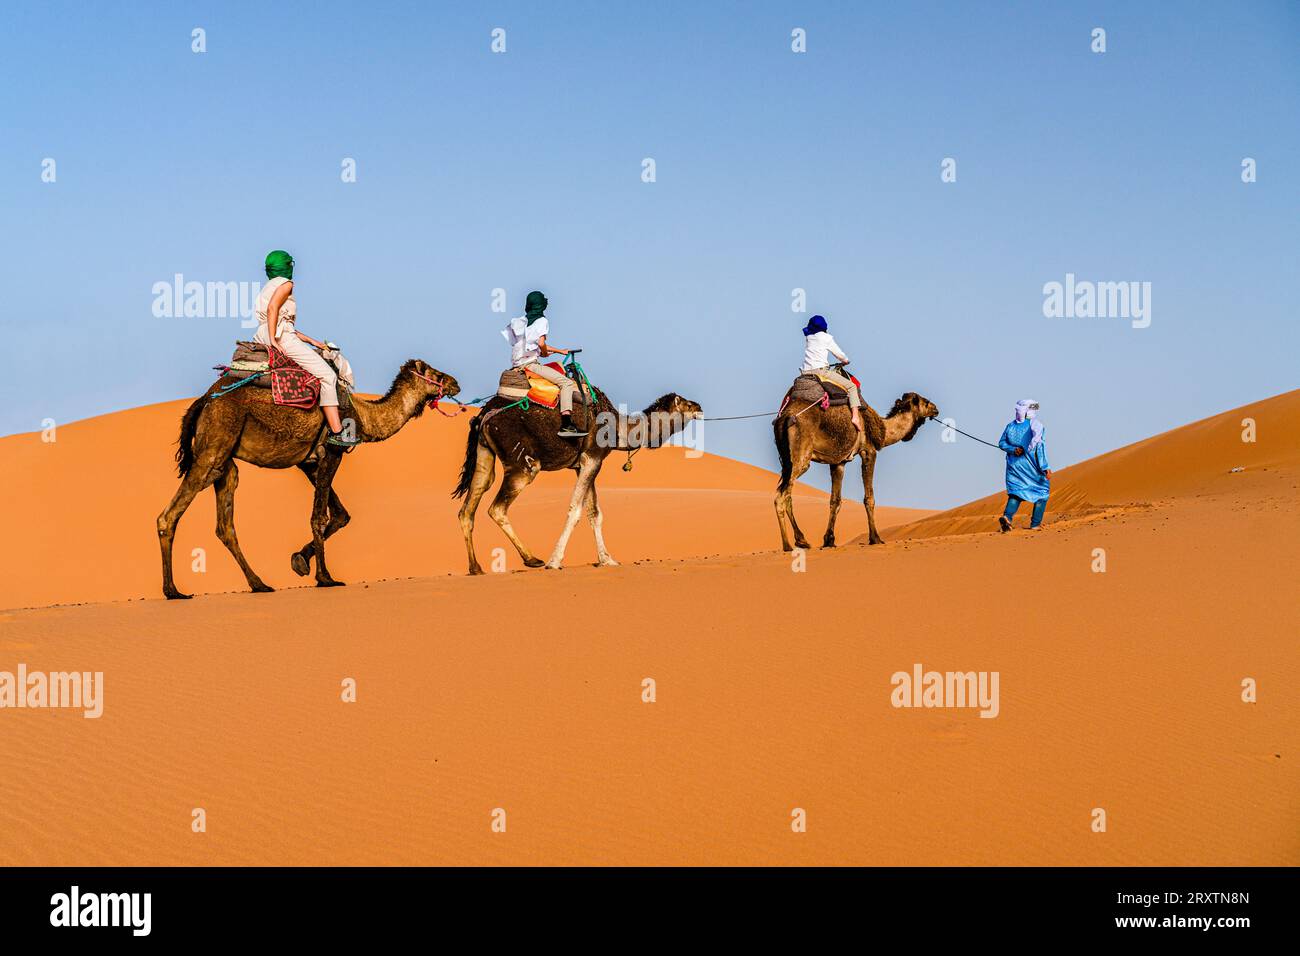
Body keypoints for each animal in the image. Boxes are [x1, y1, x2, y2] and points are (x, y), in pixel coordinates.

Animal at [160, 358, 460, 598]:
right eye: (434, 373)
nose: (455, 383)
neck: (364, 416)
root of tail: (203, 401)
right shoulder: (332, 451)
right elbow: (319, 517)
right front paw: (325, 578)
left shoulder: (309, 463)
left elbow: (340, 515)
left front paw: (299, 561)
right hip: (213, 450)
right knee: (169, 515)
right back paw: (174, 591)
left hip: (225, 462)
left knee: (225, 524)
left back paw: (259, 584)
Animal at [454, 385, 702, 572]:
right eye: (687, 404)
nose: (699, 407)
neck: (618, 429)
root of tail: (483, 416)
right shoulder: (591, 457)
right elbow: (575, 510)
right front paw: (555, 561)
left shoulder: (583, 464)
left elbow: (595, 513)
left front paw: (607, 559)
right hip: (523, 463)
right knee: (497, 508)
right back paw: (533, 559)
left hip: (484, 453)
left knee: (470, 504)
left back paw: (476, 568)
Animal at [774, 390, 941, 554]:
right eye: (926, 401)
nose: (936, 409)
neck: (883, 429)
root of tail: (786, 416)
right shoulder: (868, 451)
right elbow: (869, 498)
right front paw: (875, 538)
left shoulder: (838, 462)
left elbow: (835, 500)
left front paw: (829, 540)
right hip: (801, 456)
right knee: (782, 495)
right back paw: (792, 543)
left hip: (786, 461)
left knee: (784, 494)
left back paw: (796, 542)